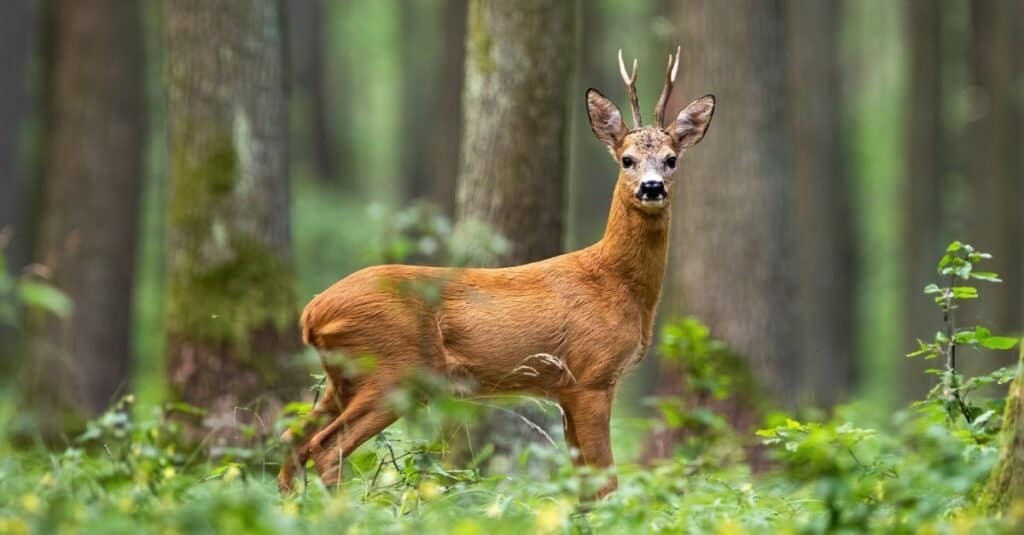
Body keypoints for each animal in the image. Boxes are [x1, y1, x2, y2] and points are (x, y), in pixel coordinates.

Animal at [276, 47, 716, 498]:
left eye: (671, 160)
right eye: (627, 160)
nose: (652, 187)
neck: (615, 282)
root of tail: (312, 313)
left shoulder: (564, 389)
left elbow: (583, 484)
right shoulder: (591, 376)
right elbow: (606, 480)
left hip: (343, 379)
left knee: (292, 439)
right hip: (391, 370)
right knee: (324, 447)